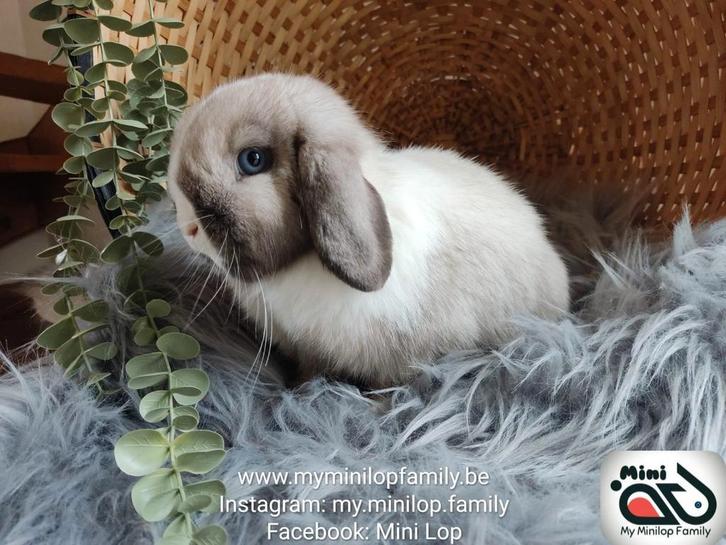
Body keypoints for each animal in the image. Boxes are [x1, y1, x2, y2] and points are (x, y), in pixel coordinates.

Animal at [167, 73, 569, 387]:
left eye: (252, 160)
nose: (187, 228)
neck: (300, 266)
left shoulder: (405, 358)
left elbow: (390, 386)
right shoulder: (310, 350)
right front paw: (300, 390)